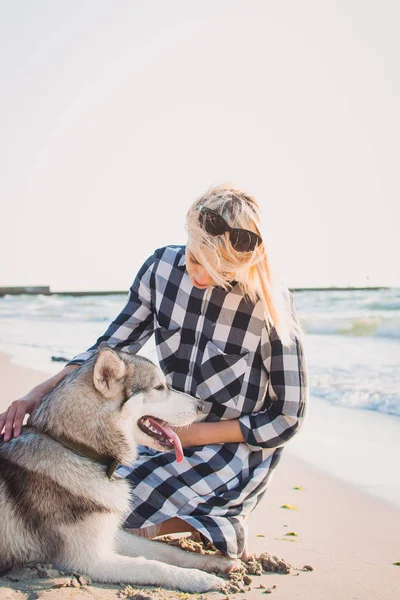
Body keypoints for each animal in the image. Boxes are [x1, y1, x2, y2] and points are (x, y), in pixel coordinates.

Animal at [0, 346, 234, 592]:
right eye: (159, 387)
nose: (201, 406)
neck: (76, 449)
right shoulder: (88, 560)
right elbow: (152, 565)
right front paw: (199, 578)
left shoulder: (110, 534)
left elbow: (166, 550)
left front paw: (214, 562)